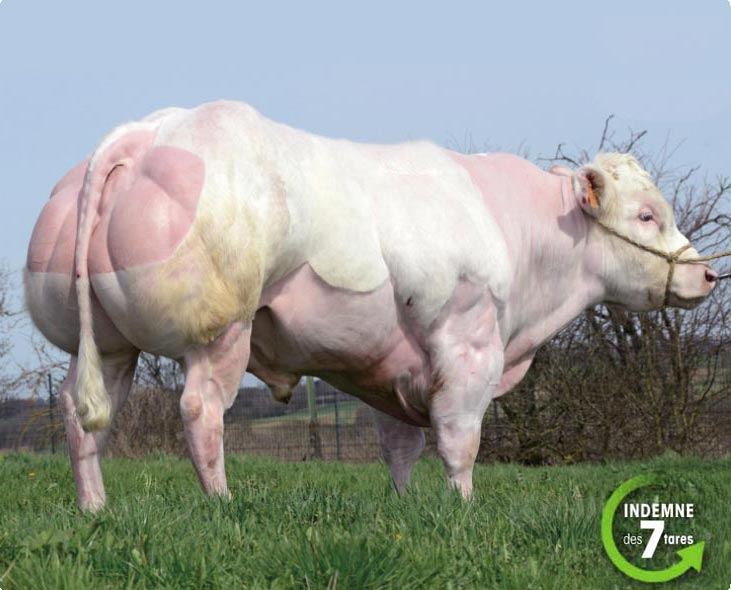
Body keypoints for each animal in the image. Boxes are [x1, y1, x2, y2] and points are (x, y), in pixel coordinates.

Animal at [25, 101, 717, 511]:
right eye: (646, 214)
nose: (707, 273)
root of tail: (145, 134)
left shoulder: (392, 367)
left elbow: (400, 444)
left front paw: (407, 509)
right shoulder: (468, 347)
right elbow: (459, 441)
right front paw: (463, 510)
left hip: (106, 344)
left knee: (85, 415)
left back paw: (94, 509)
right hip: (219, 330)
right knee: (200, 411)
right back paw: (222, 506)